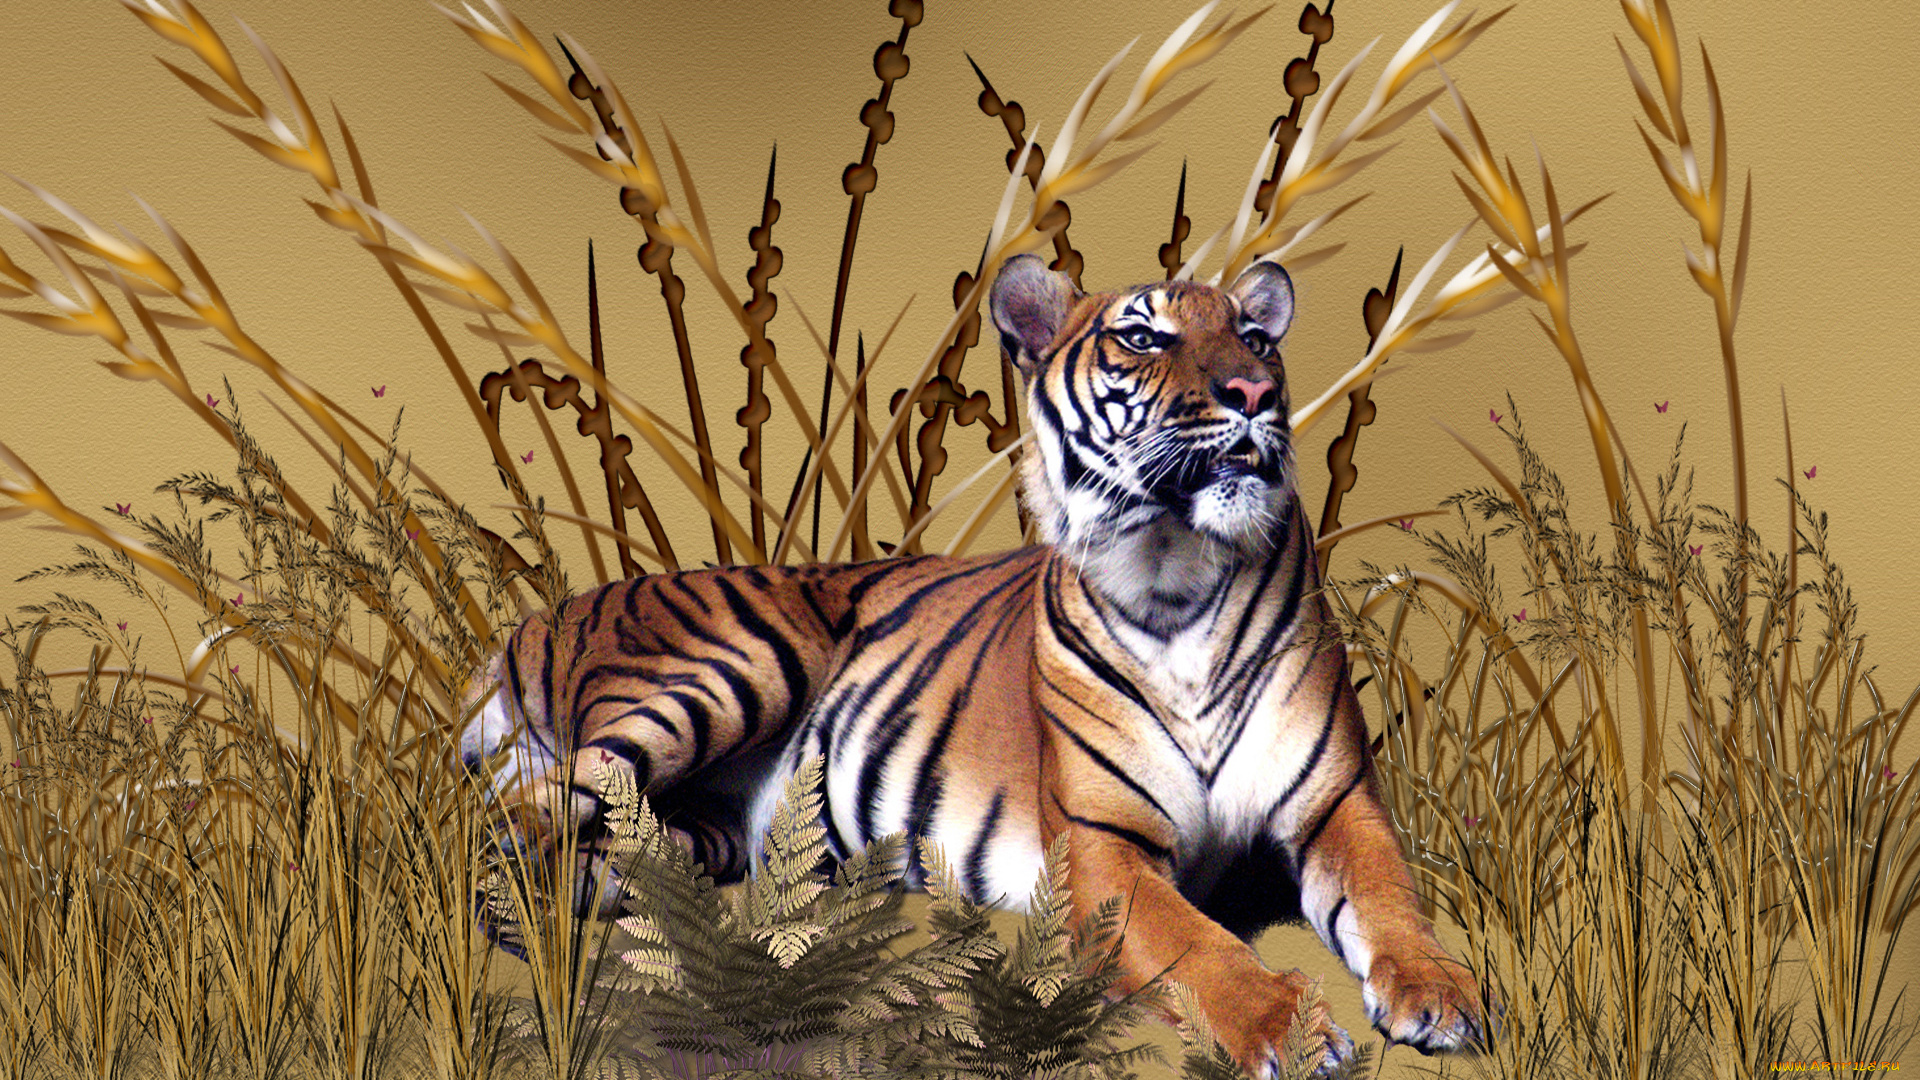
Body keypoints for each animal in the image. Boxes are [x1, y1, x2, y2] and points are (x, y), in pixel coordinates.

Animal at [459, 252, 1495, 1076]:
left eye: (1253, 336)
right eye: (1144, 337)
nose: (1254, 394)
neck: (1181, 582)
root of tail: (541, 614)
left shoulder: (1340, 803)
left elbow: (1391, 900)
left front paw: (1440, 993)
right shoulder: (1102, 847)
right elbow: (1196, 944)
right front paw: (1287, 1022)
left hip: (705, 813)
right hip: (734, 667)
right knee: (504, 824)